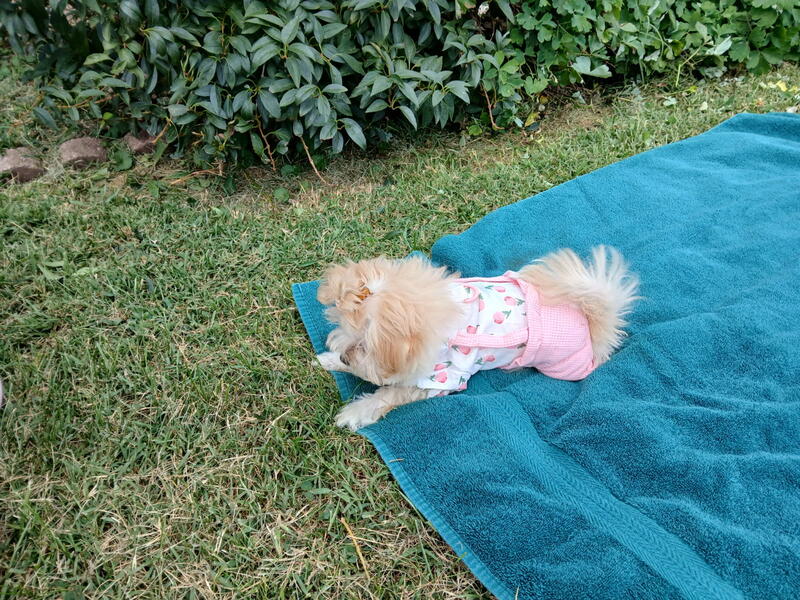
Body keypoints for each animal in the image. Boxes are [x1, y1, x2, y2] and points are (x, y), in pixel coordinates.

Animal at [316, 246, 639, 431]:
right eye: (344, 331)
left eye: (365, 347)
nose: (345, 356)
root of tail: (591, 325)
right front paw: (329, 360)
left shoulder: (442, 380)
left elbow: (388, 395)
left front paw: (356, 411)